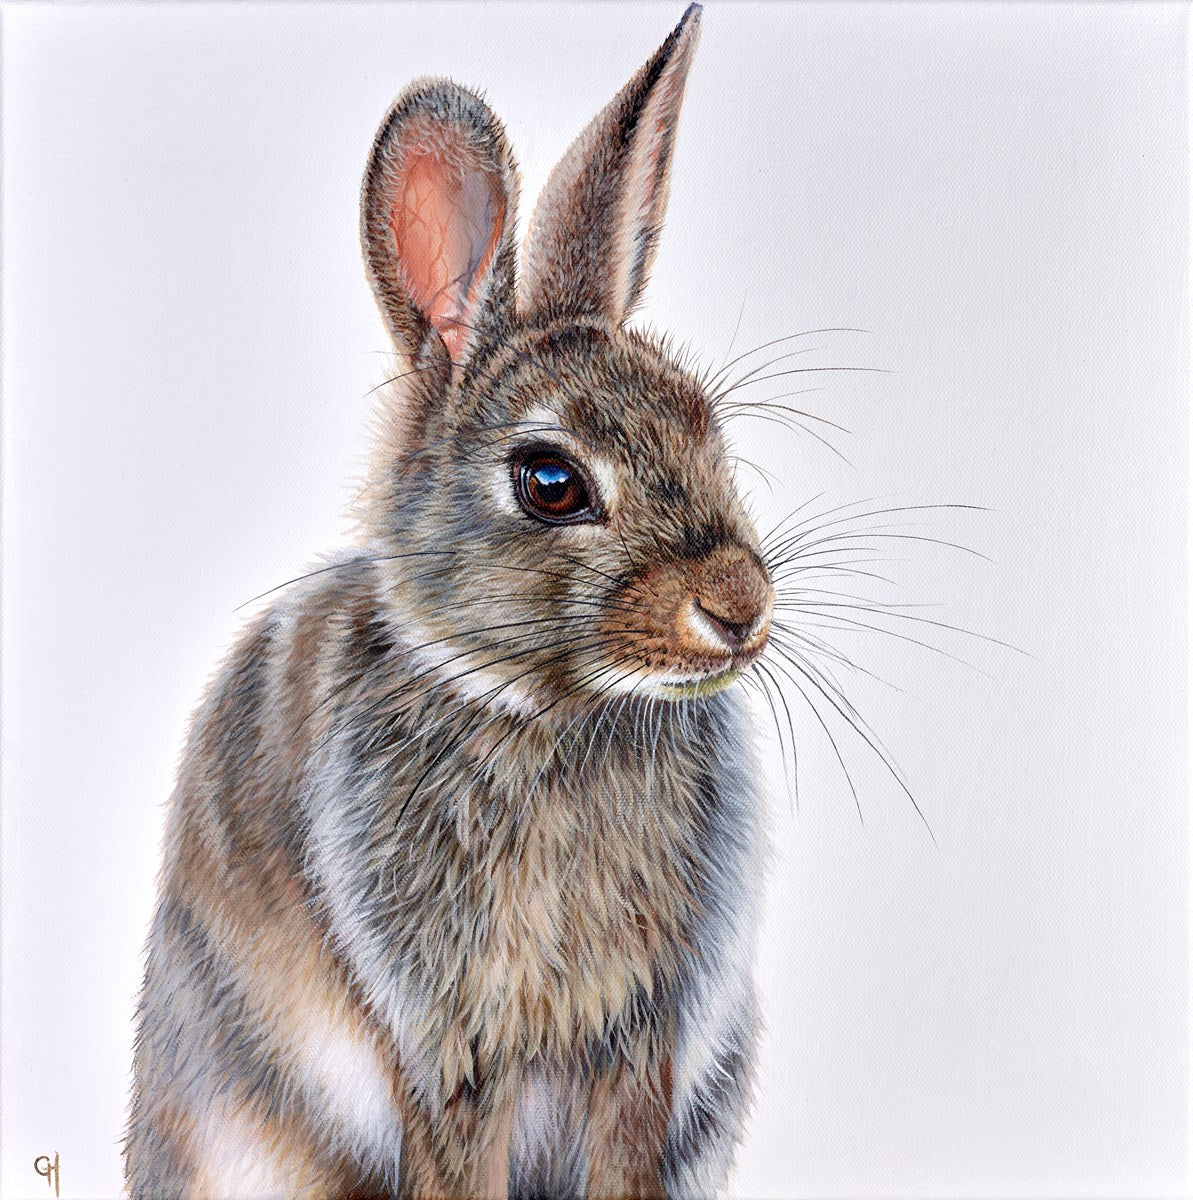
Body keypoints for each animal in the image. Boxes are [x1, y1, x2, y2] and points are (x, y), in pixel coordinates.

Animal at [124, 5, 774, 1198]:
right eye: (550, 482)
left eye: (705, 424)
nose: (739, 607)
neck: (550, 714)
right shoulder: (448, 1037)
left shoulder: (642, 1040)